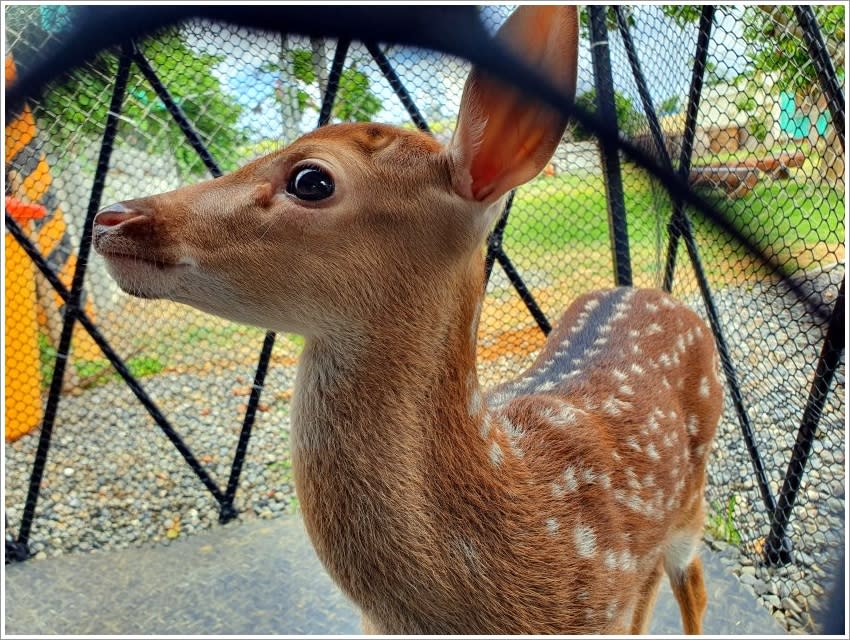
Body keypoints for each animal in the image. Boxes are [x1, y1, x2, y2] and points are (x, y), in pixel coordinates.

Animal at [94, 5, 724, 636]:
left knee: (693, 581)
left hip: (689, 502)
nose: (110, 217)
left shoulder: (614, 603)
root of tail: (653, 293)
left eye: (311, 180)